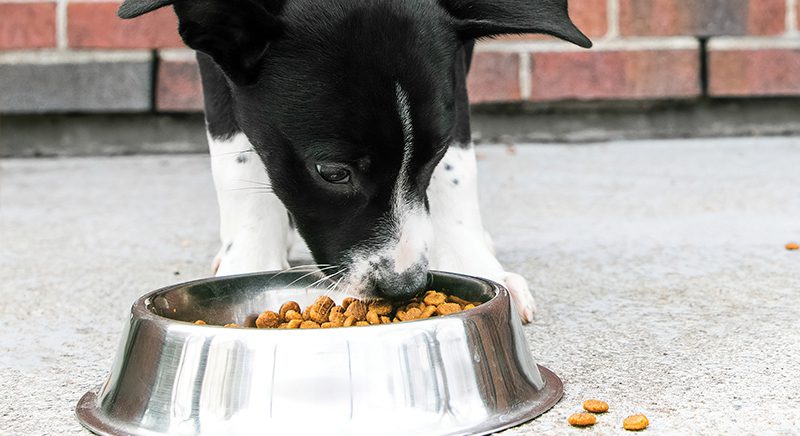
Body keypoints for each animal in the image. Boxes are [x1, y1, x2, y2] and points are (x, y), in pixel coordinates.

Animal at [120, 0, 592, 320]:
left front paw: (471, 259)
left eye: (434, 155)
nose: (402, 286)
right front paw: (250, 264)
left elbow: (459, 161)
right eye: (332, 173)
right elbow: (233, 153)